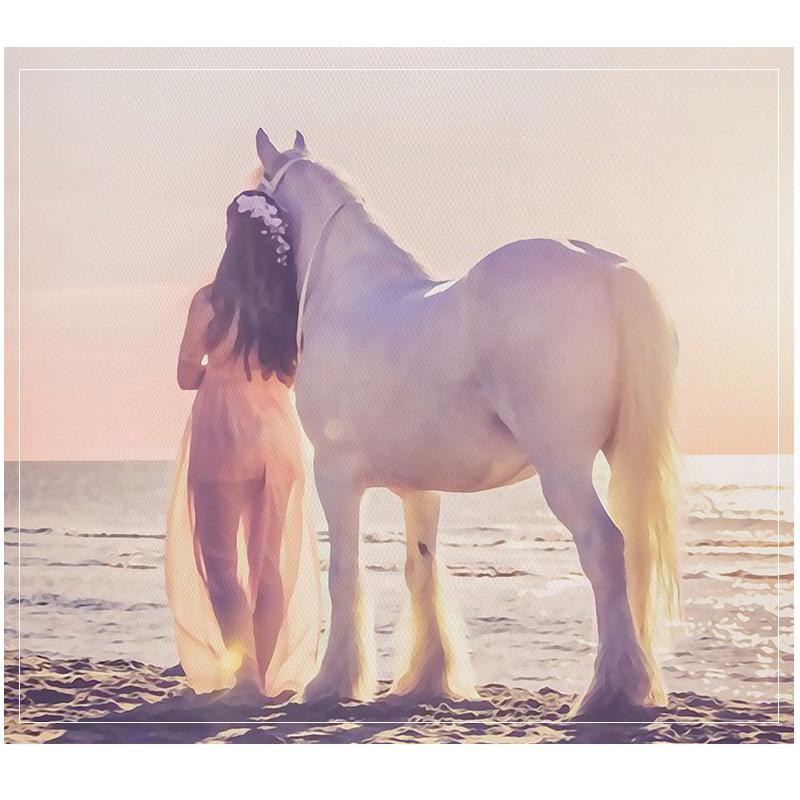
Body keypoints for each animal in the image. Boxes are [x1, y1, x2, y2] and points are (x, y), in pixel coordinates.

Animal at [255, 129, 680, 719]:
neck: (351, 293)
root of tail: (608, 270)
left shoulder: (335, 477)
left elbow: (345, 573)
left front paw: (330, 683)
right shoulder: (421, 489)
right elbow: (421, 570)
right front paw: (425, 680)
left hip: (564, 469)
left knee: (604, 547)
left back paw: (610, 689)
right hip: (620, 457)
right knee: (634, 550)